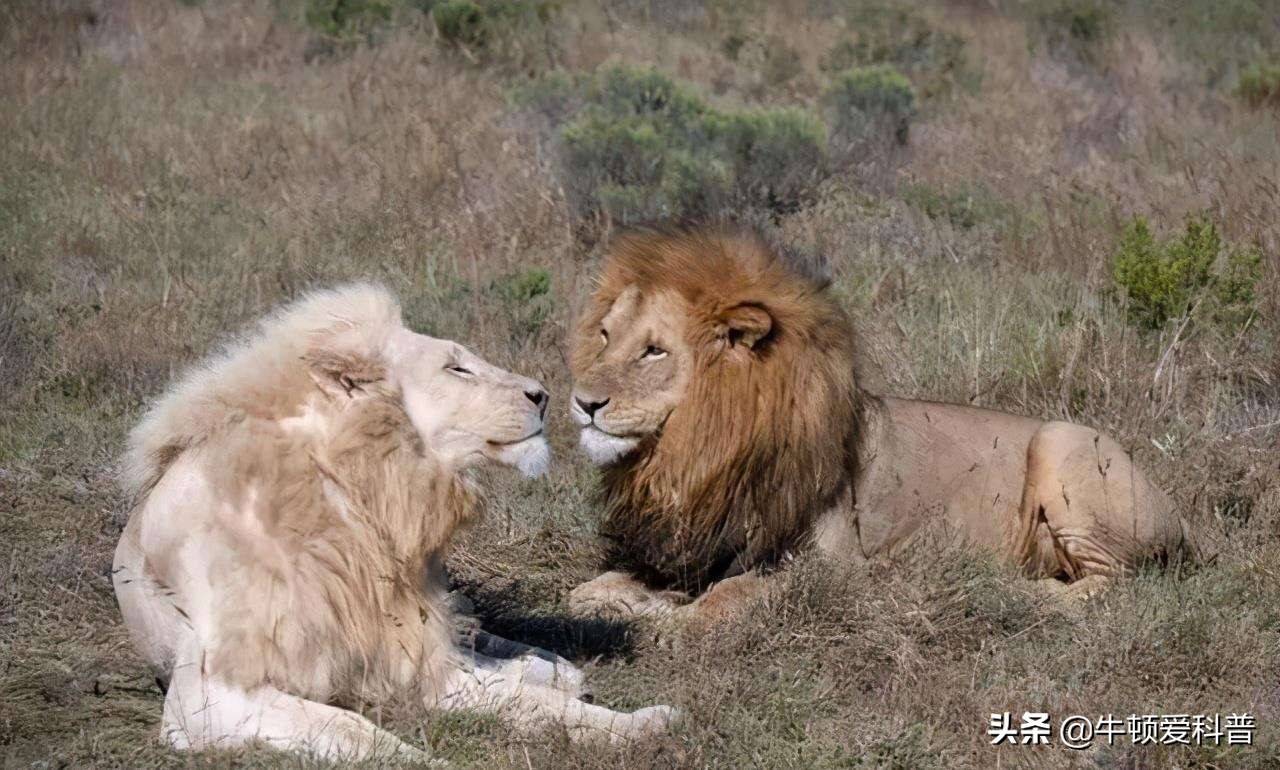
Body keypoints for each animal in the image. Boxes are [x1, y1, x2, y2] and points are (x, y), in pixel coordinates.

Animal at [568, 226, 1187, 624]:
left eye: (653, 351)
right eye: (605, 335)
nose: (581, 402)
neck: (695, 452)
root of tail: (1181, 515)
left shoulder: (833, 565)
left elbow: (728, 599)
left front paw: (671, 622)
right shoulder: (698, 542)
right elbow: (602, 587)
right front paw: (612, 600)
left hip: (1066, 444)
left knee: (1115, 586)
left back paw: (1007, 589)